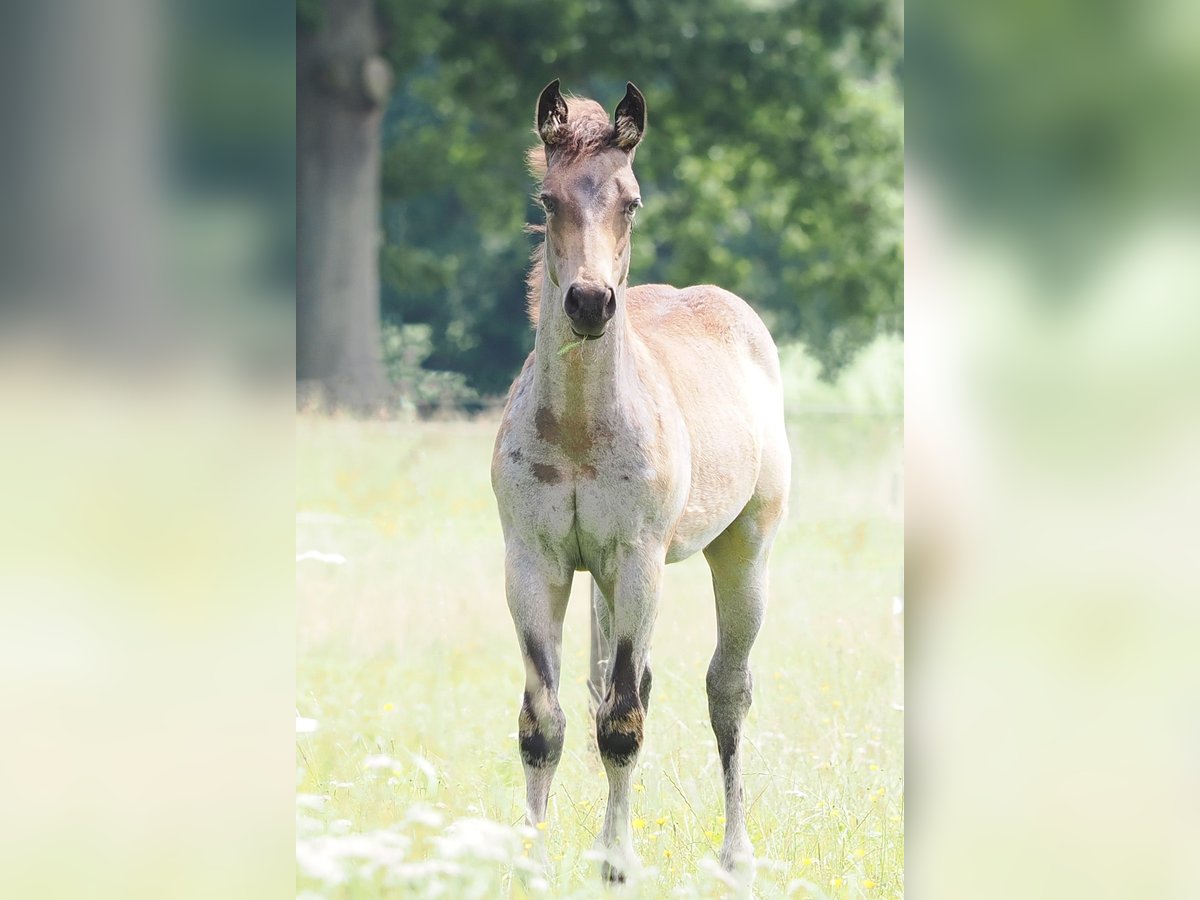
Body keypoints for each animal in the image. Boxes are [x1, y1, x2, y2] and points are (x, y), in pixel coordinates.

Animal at [491, 79, 790, 882]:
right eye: (547, 198)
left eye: (631, 200)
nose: (591, 302)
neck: (578, 429)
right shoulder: (534, 561)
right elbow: (545, 719)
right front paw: (531, 865)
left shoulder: (637, 559)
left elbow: (622, 722)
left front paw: (619, 865)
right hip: (601, 577)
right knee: (614, 684)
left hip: (741, 553)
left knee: (727, 690)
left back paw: (736, 856)